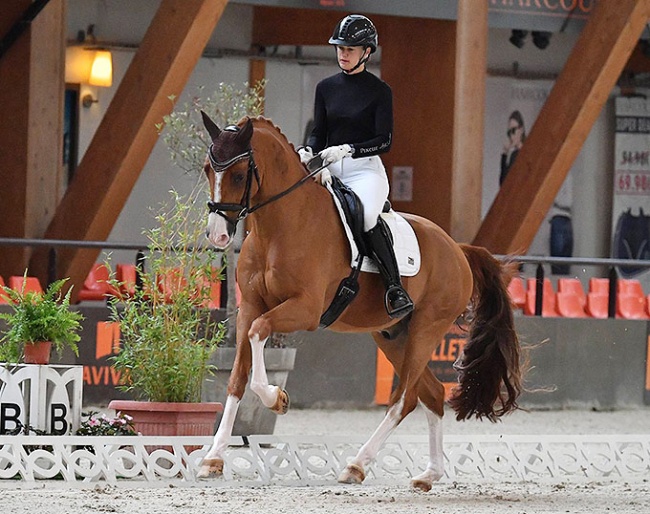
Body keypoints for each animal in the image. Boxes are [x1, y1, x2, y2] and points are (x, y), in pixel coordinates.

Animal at [197, 113, 520, 488]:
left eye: (237, 174)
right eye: (207, 169)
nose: (218, 235)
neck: (280, 228)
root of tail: (458, 249)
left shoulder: (305, 309)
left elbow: (259, 333)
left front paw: (276, 398)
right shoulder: (248, 308)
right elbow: (236, 378)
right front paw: (214, 458)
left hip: (426, 330)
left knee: (404, 399)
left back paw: (356, 465)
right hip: (393, 336)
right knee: (433, 394)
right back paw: (429, 473)